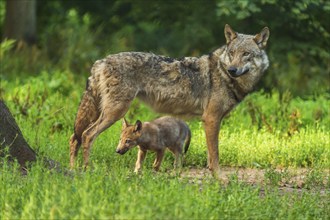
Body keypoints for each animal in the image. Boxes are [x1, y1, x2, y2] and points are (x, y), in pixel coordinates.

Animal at [69, 24, 268, 179]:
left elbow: (210, 155)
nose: (232, 69)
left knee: (74, 137)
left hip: (102, 111)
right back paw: (87, 169)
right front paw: (219, 178)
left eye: (246, 54)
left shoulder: (211, 121)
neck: (224, 74)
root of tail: (101, 61)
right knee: (87, 135)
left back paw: (72, 168)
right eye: (232, 53)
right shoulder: (211, 119)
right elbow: (215, 154)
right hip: (115, 112)